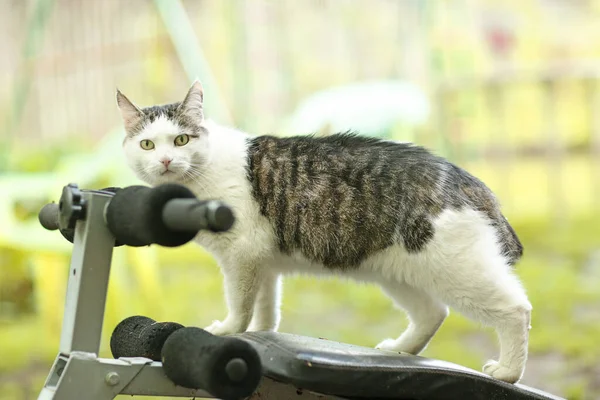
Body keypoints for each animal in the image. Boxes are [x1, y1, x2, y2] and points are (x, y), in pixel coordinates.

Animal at [116, 79, 528, 382]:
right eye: (147, 144)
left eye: (181, 140)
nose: (165, 161)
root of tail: (468, 180)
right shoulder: (262, 263)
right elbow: (265, 310)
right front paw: (259, 337)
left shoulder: (241, 255)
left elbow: (240, 303)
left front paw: (228, 331)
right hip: (399, 272)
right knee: (433, 313)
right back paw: (400, 350)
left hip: (457, 270)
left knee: (516, 309)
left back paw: (508, 371)